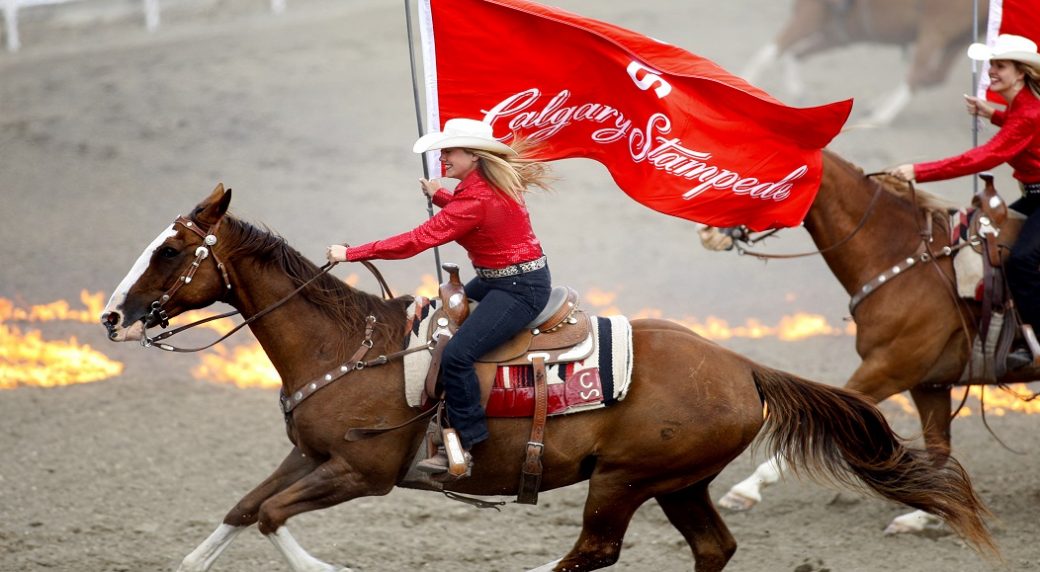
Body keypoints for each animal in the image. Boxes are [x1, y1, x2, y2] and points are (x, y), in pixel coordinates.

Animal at [99, 186, 998, 569]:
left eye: (170, 251)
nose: (111, 315)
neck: (350, 347)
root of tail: (744, 365)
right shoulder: (308, 455)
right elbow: (242, 510)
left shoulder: (362, 472)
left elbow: (272, 519)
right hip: (678, 481)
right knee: (712, 547)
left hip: (628, 479)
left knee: (593, 552)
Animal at [715, 149, 1040, 536]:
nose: (710, 229)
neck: (904, 257)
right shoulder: (928, 383)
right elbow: (939, 449)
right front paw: (926, 516)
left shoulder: (887, 368)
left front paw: (745, 490)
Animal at [744, 0, 985, 124]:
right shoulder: (839, 34)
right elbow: (795, 54)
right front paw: (796, 89)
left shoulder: (810, 17)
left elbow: (769, 53)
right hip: (958, 39)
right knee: (933, 77)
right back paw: (877, 107)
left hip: (936, 29)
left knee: (917, 75)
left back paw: (879, 117)